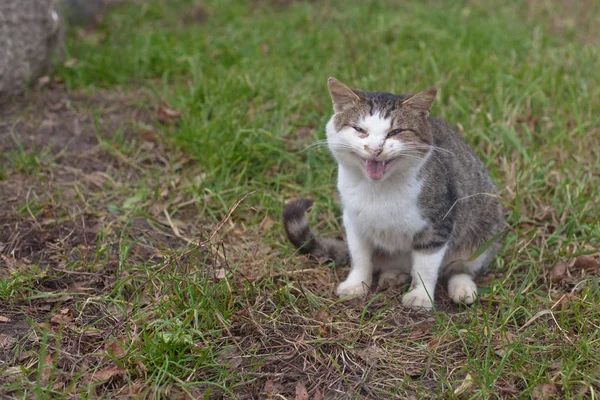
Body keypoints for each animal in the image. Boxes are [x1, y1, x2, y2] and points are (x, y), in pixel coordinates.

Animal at [284, 78, 504, 310]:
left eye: (395, 132)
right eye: (359, 129)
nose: (375, 149)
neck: (378, 190)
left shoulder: (437, 223)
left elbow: (425, 267)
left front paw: (420, 296)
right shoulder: (353, 220)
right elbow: (360, 257)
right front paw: (356, 284)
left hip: (484, 227)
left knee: (463, 266)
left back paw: (462, 287)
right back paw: (393, 275)